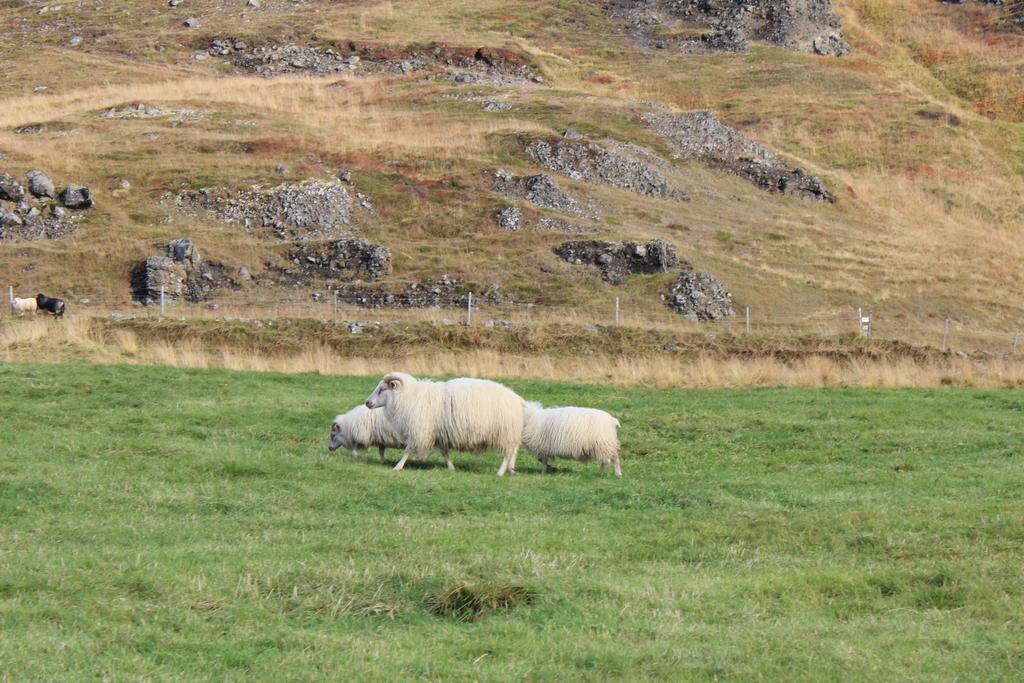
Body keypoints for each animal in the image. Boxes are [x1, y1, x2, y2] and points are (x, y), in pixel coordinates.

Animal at [364, 374, 524, 475]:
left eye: (382, 389)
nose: (367, 403)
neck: (409, 397)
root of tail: (516, 398)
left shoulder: (420, 429)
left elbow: (407, 450)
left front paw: (398, 467)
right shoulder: (439, 433)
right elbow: (444, 452)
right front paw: (451, 467)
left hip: (504, 432)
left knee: (508, 453)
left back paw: (500, 472)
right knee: (513, 451)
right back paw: (511, 470)